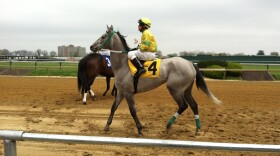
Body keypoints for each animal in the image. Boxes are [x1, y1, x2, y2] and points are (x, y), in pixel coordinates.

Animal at [89, 25, 221, 135]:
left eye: (103, 36)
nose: (92, 46)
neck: (123, 64)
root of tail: (189, 63)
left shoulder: (128, 93)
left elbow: (132, 111)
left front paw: (140, 129)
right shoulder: (121, 92)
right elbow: (113, 107)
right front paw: (106, 126)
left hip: (175, 89)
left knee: (183, 105)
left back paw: (168, 125)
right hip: (186, 90)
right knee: (194, 105)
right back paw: (197, 129)